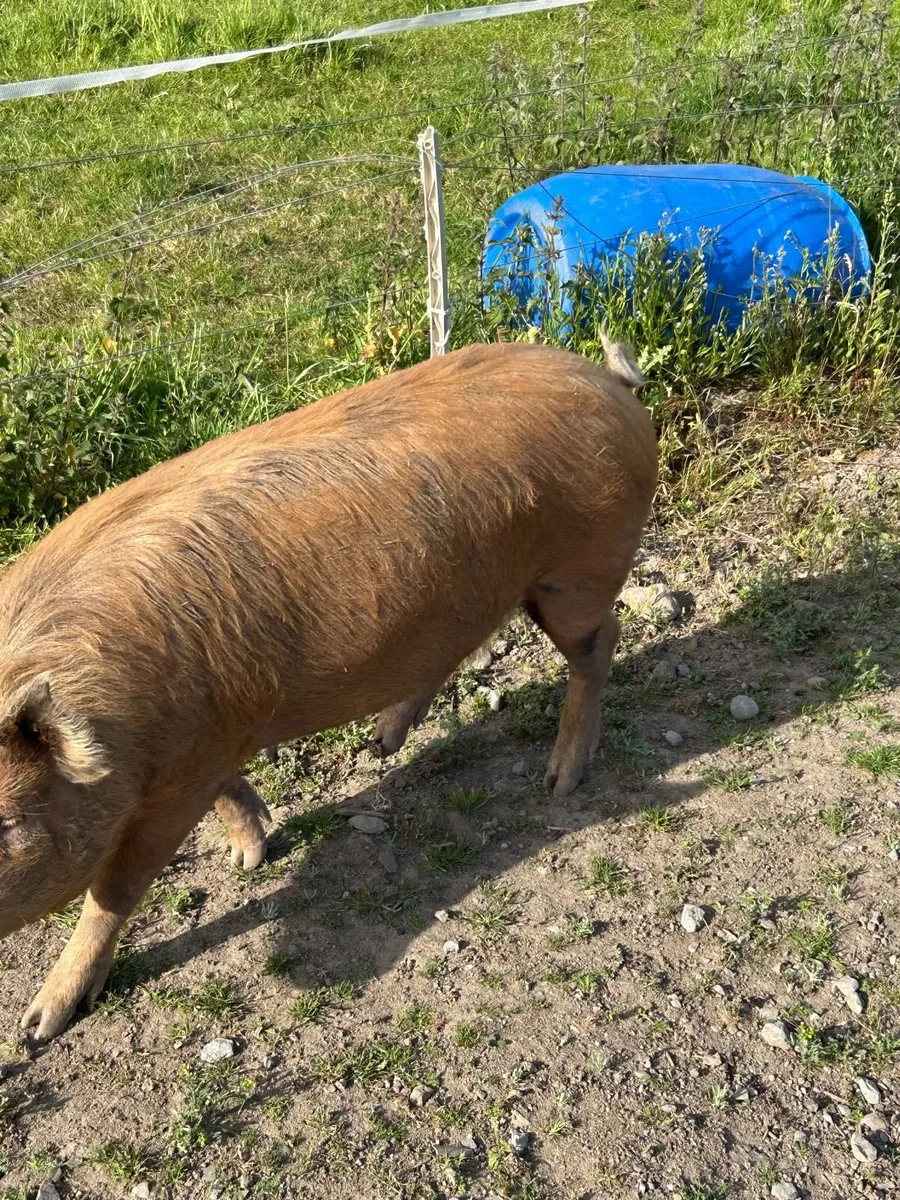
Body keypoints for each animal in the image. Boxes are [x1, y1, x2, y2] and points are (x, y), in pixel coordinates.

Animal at [0, 336, 657, 1041]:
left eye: (7, 824)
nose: (30, 1035)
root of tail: (611, 382)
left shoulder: (181, 777)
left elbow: (113, 889)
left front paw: (39, 1027)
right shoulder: (206, 747)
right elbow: (225, 797)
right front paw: (252, 854)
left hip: (579, 573)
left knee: (600, 646)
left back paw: (559, 781)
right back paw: (382, 744)